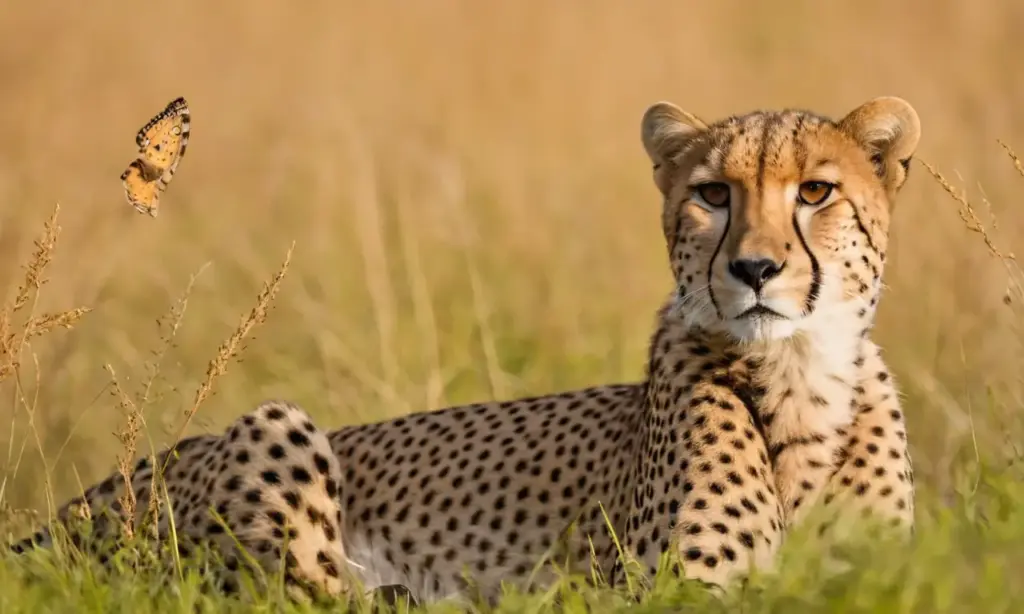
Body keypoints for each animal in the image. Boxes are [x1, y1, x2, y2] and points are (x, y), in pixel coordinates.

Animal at [8, 96, 920, 606]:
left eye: (816, 191)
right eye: (712, 194)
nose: (754, 269)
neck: (797, 376)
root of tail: (71, 509)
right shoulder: (685, 588)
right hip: (272, 427)